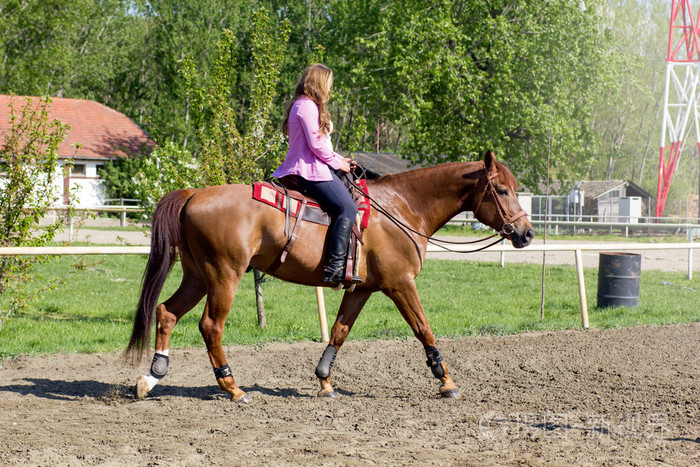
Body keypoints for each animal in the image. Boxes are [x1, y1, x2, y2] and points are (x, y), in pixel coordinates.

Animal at [126, 151, 532, 402]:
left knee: (167, 312)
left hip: (197, 276)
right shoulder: (401, 284)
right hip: (224, 276)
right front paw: (446, 381)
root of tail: (193, 193)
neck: (403, 207)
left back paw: (152, 376)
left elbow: (339, 330)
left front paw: (324, 380)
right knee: (210, 325)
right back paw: (232, 387)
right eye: (502, 190)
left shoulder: (362, 289)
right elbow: (424, 329)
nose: (526, 234)